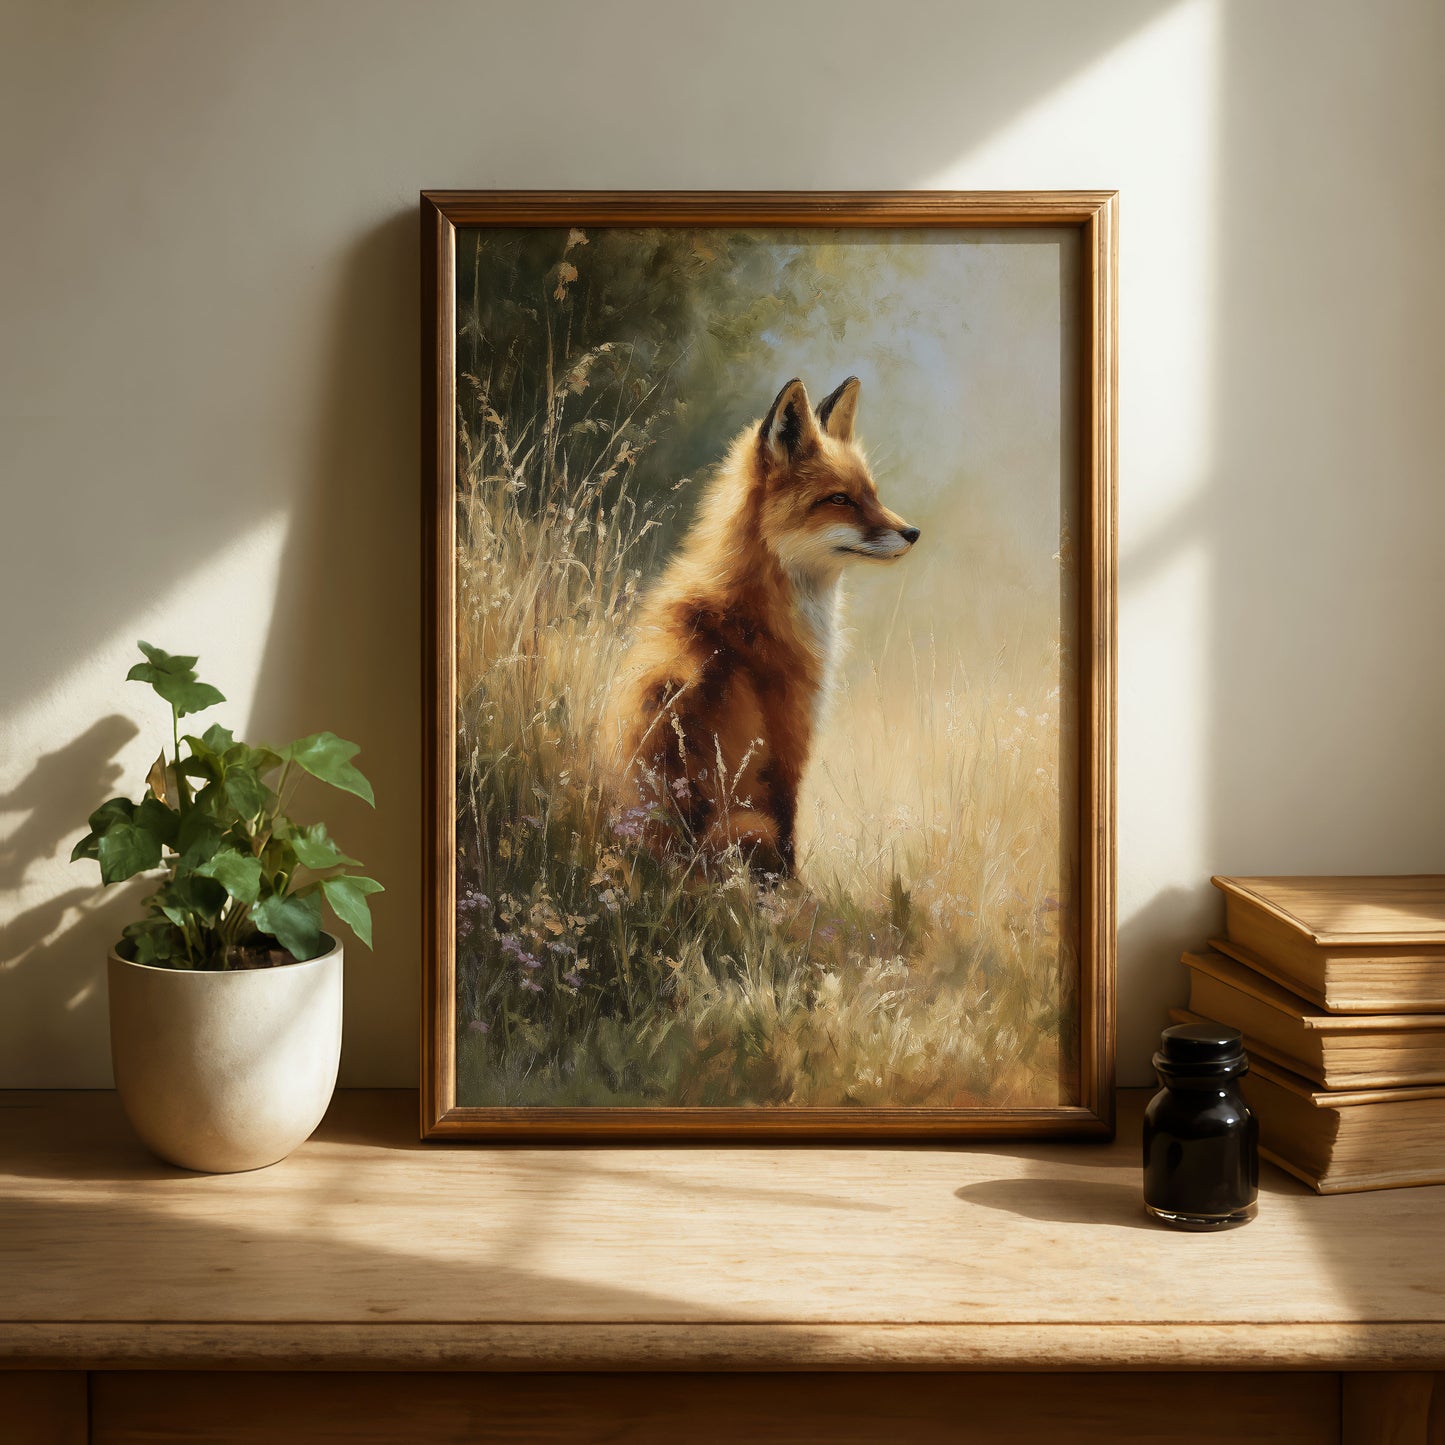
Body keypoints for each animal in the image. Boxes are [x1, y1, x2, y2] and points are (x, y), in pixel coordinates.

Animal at [607, 376, 920, 876]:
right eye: (839, 500)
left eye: (872, 494)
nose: (912, 533)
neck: (756, 601)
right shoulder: (788, 738)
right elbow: (789, 825)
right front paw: (796, 889)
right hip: (747, 825)